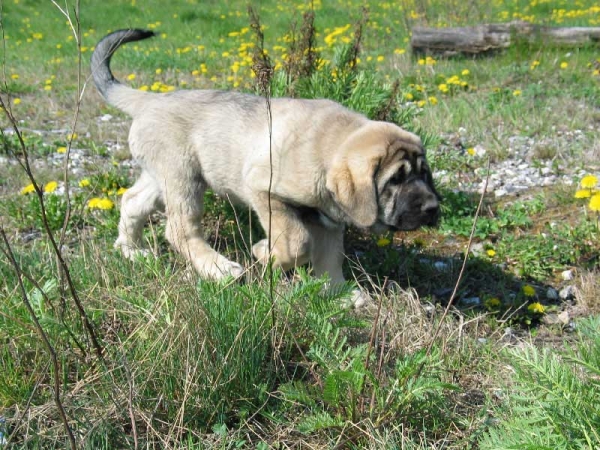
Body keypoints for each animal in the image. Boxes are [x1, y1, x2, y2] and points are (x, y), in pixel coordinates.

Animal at [91, 29, 438, 306]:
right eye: (395, 180)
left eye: (424, 173)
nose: (433, 208)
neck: (330, 145)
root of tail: (149, 100)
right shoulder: (265, 191)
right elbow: (297, 242)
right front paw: (263, 252)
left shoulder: (329, 219)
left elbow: (330, 257)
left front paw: (337, 292)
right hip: (182, 176)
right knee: (179, 229)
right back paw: (219, 269)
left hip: (161, 175)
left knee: (132, 202)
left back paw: (130, 250)